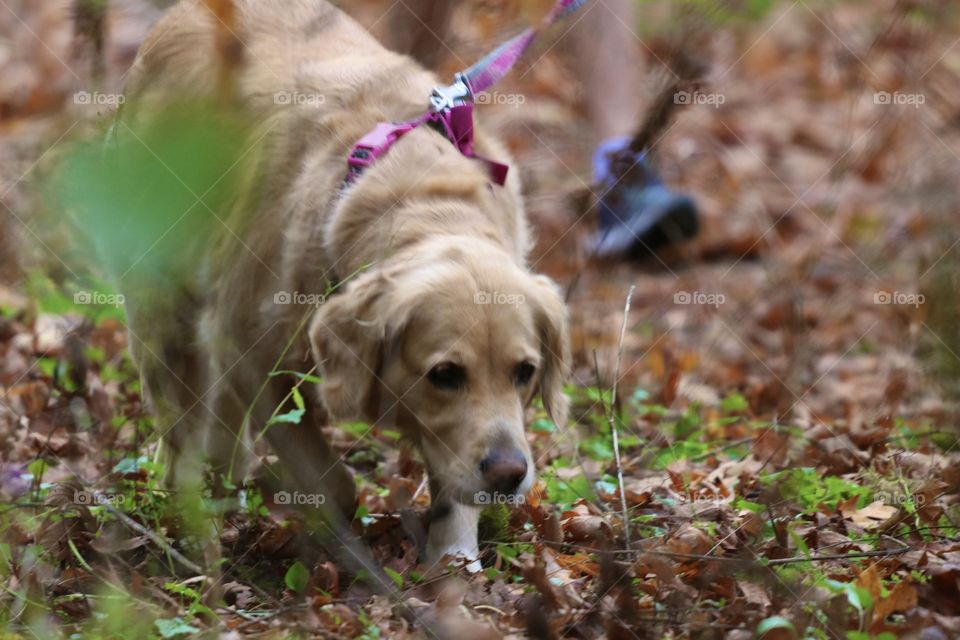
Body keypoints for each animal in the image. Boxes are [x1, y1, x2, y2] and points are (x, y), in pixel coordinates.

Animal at [120, 0, 568, 568]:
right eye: (444, 374)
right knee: (182, 423)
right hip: (162, 305)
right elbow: (330, 479)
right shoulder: (251, 354)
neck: (416, 196)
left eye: (525, 372)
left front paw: (453, 561)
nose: (510, 474)